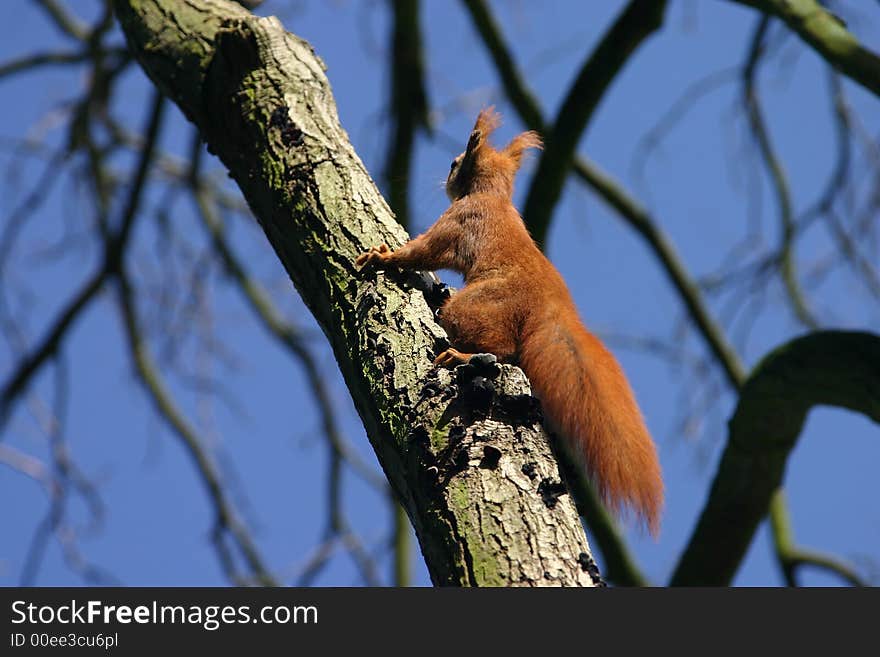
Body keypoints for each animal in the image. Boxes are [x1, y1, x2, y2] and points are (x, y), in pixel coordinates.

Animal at [356, 107, 660, 532]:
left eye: (455, 163)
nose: (446, 175)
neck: (492, 195)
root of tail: (552, 309)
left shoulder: (458, 221)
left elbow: (422, 251)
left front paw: (383, 256)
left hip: (475, 307)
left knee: (501, 349)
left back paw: (463, 356)